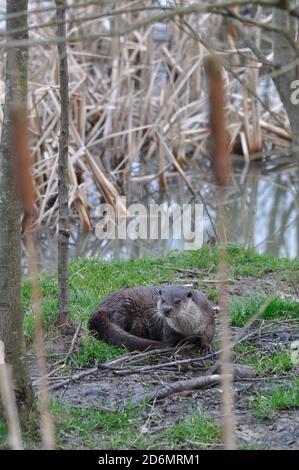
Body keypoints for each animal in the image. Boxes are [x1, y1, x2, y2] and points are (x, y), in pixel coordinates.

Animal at [87, 282, 216, 352]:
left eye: (177, 301)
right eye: (162, 300)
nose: (166, 309)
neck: (188, 329)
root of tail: (99, 310)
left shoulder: (208, 319)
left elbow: (209, 335)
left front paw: (206, 347)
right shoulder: (169, 329)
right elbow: (169, 342)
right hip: (124, 308)